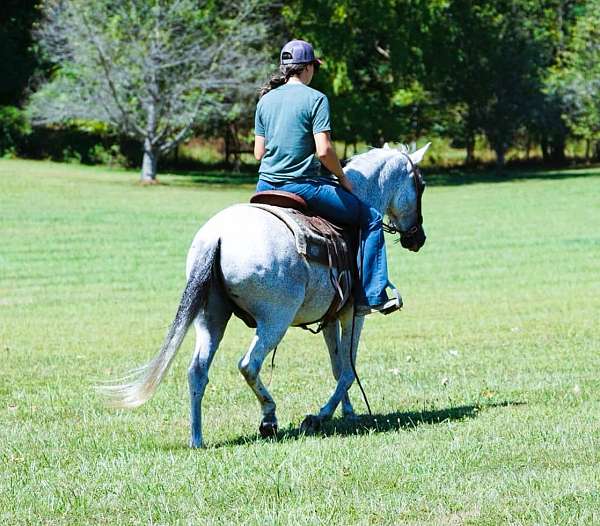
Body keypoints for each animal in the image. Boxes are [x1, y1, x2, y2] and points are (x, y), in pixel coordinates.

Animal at [104, 143, 432, 450]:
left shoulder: (329, 317)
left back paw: (197, 438)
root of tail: (216, 237)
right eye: (422, 185)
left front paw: (347, 412)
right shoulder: (354, 313)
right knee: (249, 364)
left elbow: (337, 366)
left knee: (197, 370)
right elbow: (348, 370)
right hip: (275, 321)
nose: (418, 238)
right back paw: (269, 418)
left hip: (211, 317)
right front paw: (320, 416)